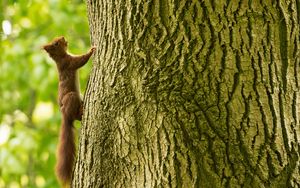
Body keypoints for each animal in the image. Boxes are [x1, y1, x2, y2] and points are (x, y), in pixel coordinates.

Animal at [42, 36, 95, 186]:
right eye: (56, 43)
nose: (63, 37)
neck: (60, 58)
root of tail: (65, 115)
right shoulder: (70, 62)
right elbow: (81, 60)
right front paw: (91, 50)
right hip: (72, 97)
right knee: (76, 116)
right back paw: (81, 112)